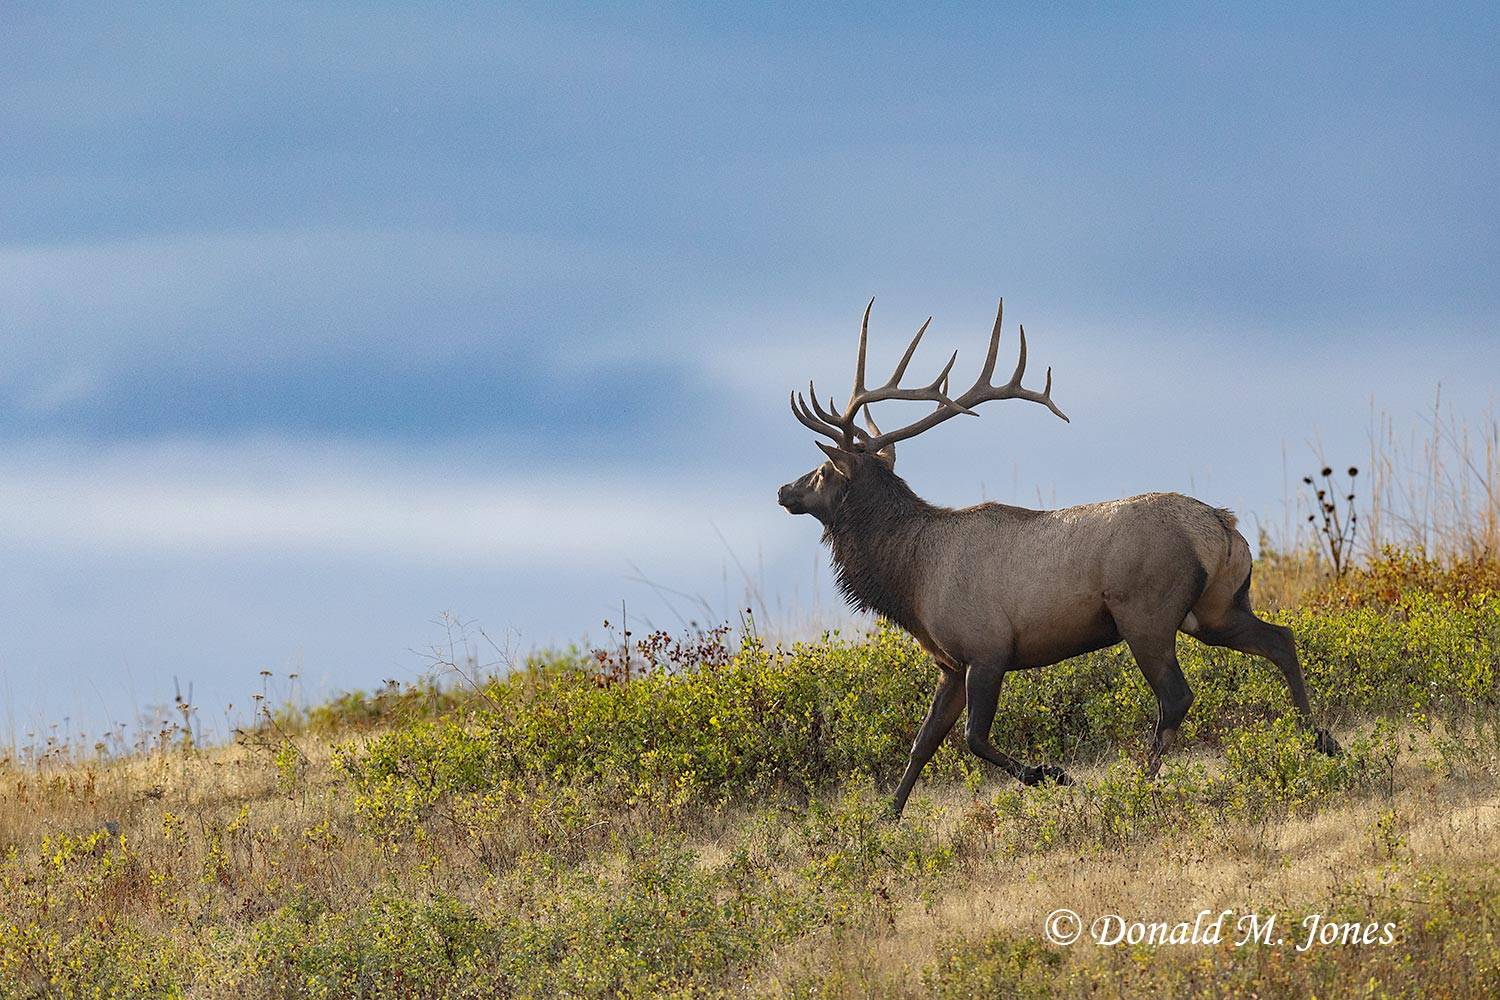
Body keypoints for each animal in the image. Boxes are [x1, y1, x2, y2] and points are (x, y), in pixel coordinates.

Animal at [780, 295, 1344, 815]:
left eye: (823, 472)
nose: (785, 490)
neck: (912, 582)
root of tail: (1222, 528)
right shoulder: (950, 664)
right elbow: (923, 743)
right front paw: (887, 818)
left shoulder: (987, 648)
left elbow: (972, 738)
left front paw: (1051, 773)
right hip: (1215, 608)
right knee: (1281, 640)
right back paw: (1323, 741)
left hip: (1146, 613)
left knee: (1176, 696)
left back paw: (1138, 786)